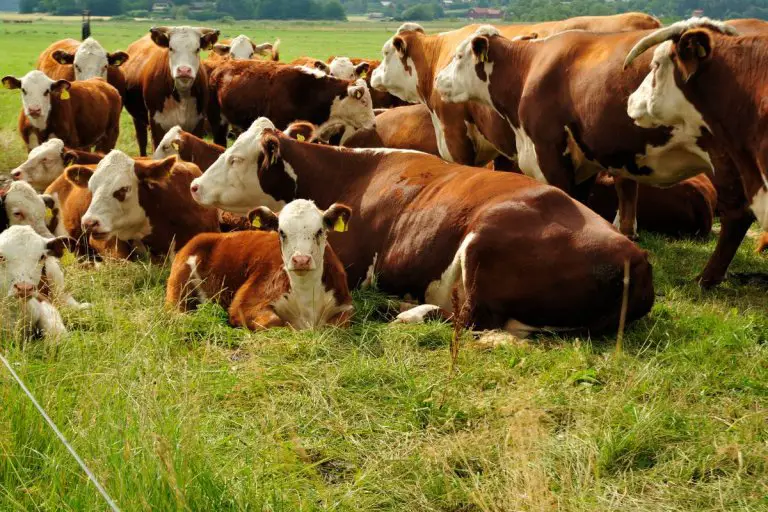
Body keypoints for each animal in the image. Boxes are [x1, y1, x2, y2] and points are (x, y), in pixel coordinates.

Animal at [122, 26, 220, 156]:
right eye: (171, 48)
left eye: (197, 49)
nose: (184, 70)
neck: (181, 95)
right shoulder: (156, 123)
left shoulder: (198, 123)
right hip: (137, 119)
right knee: (141, 140)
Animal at [166, 199, 353, 330]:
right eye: (281, 232)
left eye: (319, 231)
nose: (301, 260)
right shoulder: (244, 303)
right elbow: (274, 321)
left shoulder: (346, 307)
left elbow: (335, 325)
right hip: (178, 284)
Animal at [188, 118, 654, 335]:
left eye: (234, 157)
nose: (193, 185)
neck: (346, 175)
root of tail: (635, 255)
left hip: (485, 240)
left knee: (468, 319)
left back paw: (403, 312)